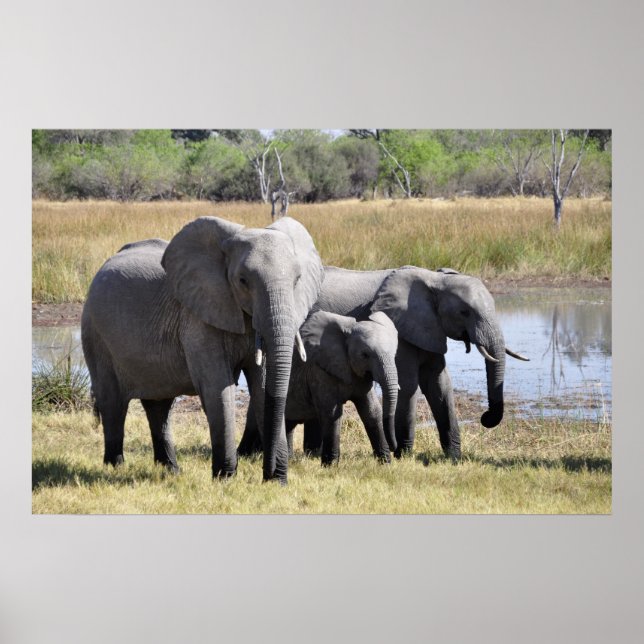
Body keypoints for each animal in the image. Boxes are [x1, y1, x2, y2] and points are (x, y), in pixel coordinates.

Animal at [81, 215, 323, 483]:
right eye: (242, 281)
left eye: (297, 280)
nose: (270, 474)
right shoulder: (197, 318)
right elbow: (218, 387)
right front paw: (225, 479)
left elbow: (262, 387)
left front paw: (276, 482)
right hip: (95, 333)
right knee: (112, 403)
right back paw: (115, 467)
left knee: (159, 406)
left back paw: (171, 470)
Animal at [282, 310, 399, 465]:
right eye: (365, 355)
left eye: (394, 353)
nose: (394, 447)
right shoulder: (319, 371)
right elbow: (332, 414)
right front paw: (330, 466)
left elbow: (372, 411)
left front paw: (385, 464)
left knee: (288, 424)